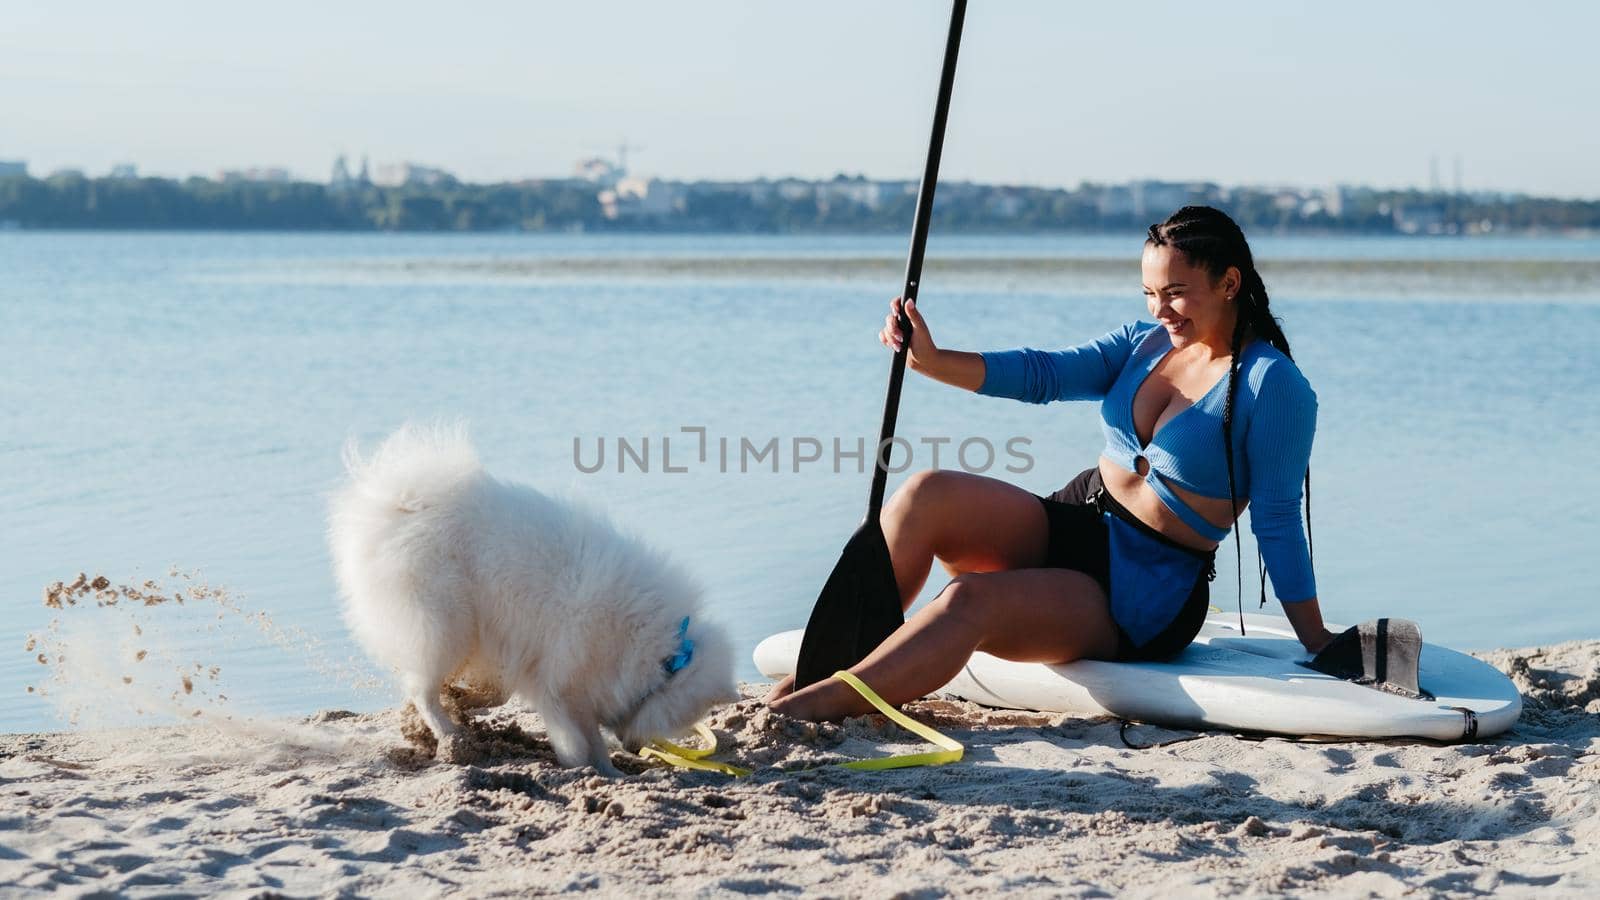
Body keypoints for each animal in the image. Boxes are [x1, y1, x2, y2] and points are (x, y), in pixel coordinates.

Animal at [326, 422, 736, 775]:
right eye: (678, 718)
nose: (634, 747)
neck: (653, 644)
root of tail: (401, 503)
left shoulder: (574, 687)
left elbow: (591, 737)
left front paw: (610, 771)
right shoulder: (561, 678)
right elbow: (575, 739)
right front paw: (583, 767)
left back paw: (458, 703)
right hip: (444, 627)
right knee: (421, 690)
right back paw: (449, 734)